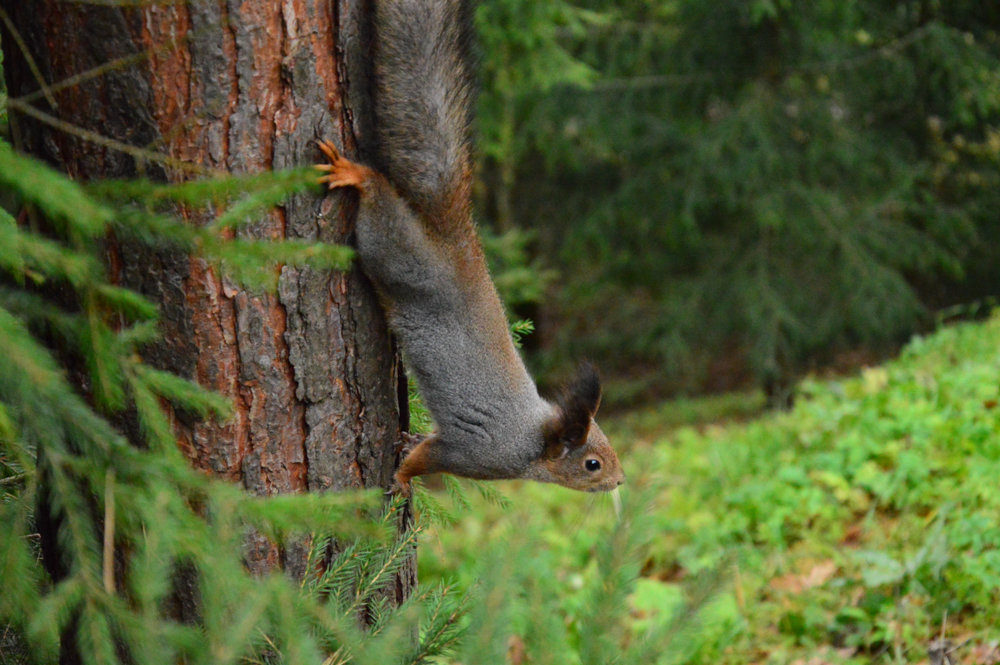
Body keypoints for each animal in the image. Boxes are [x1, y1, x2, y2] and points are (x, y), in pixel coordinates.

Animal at [316, 0, 620, 492]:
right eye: (592, 464)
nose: (620, 481)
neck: (532, 440)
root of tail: (454, 235)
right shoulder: (476, 453)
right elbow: (427, 458)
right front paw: (402, 479)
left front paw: (406, 444)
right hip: (399, 254)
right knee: (380, 205)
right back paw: (358, 175)